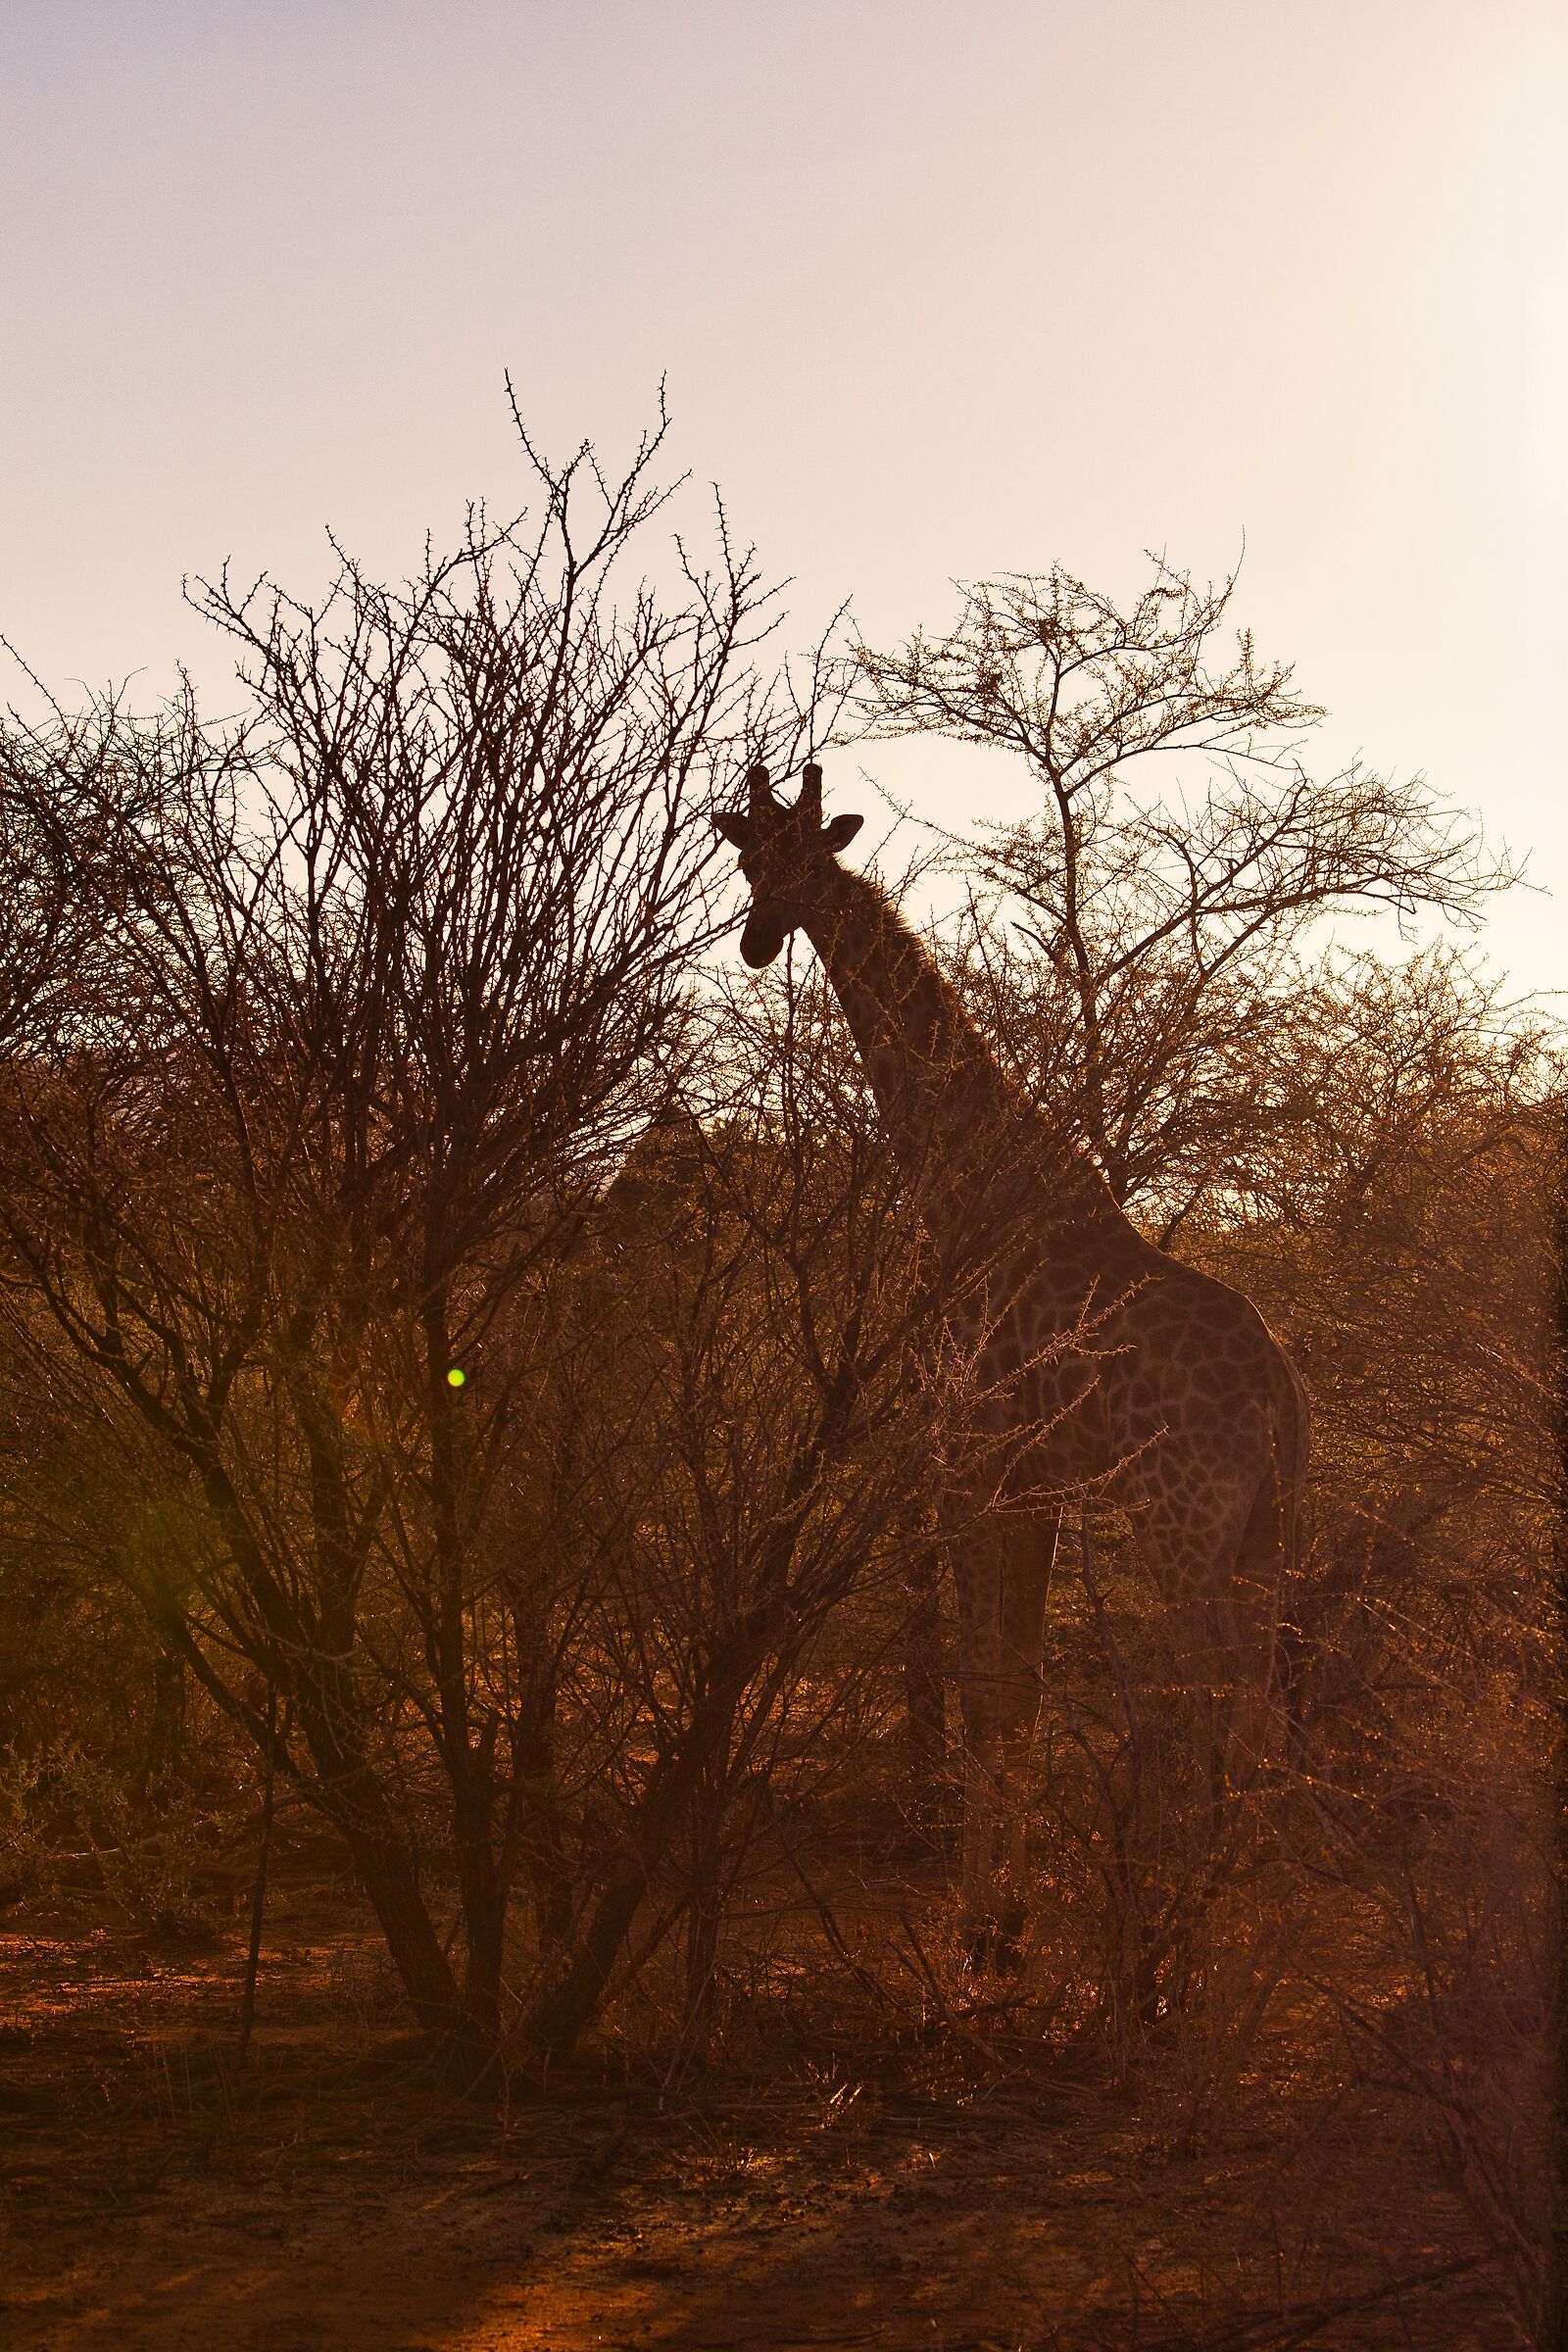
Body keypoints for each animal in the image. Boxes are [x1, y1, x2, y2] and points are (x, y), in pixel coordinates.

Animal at [716, 761, 1309, 1952]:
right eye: (750, 861)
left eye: (803, 859)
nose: (757, 942)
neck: (956, 1179)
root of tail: (1281, 1395)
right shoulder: (1034, 1485)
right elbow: (1019, 1687)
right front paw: (1009, 1911)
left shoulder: (969, 1461)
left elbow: (987, 1687)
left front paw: (980, 1922)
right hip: (1268, 1529)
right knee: (1258, 1696)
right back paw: (1225, 1916)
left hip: (1180, 1526)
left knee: (1213, 1689)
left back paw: (1179, 1916)